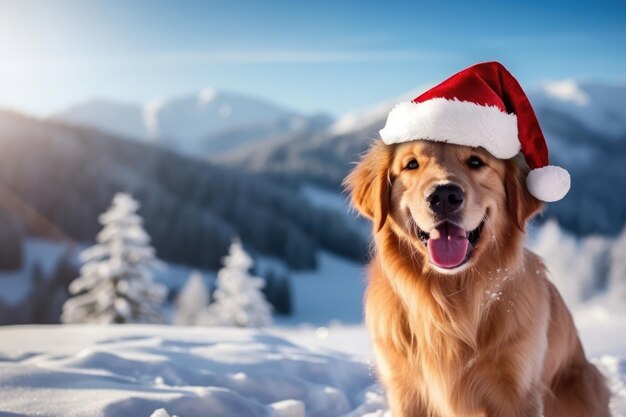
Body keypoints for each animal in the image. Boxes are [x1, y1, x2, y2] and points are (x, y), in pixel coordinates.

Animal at [344, 141, 608, 416]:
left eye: (476, 162)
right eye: (411, 164)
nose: (444, 197)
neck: (449, 302)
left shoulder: (517, 389)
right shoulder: (406, 390)